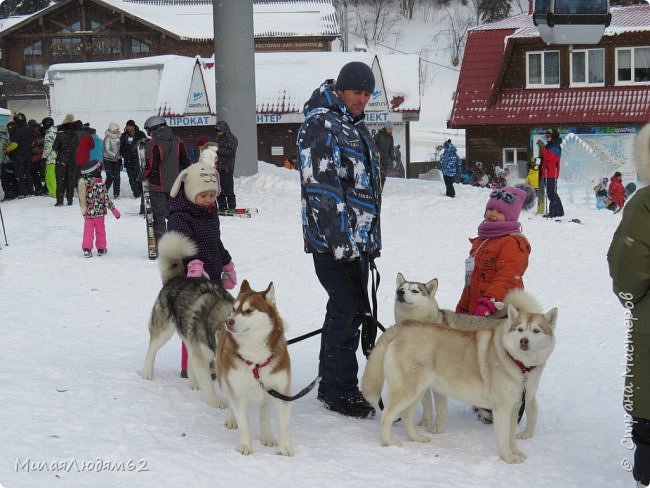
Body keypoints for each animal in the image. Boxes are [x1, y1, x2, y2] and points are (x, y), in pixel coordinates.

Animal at [141, 232, 233, 408]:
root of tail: (176, 278)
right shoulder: (203, 355)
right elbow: (208, 385)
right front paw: (216, 402)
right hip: (165, 330)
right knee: (152, 349)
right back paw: (147, 373)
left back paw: (193, 383)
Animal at [215, 280, 292, 456]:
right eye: (234, 309)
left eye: (248, 311)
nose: (228, 321)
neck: (256, 359)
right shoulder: (237, 390)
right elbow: (244, 422)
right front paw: (245, 445)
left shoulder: (281, 390)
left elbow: (283, 424)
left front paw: (285, 448)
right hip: (224, 378)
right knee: (230, 400)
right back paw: (231, 419)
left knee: (264, 411)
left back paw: (267, 436)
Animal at [362, 288, 556, 464]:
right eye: (520, 329)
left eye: (536, 331)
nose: (524, 341)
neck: (519, 364)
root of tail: (403, 326)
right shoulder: (502, 408)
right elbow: (503, 438)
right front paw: (508, 458)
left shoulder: (515, 407)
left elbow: (511, 437)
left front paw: (516, 452)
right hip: (408, 390)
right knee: (387, 415)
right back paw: (388, 443)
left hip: (417, 391)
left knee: (407, 416)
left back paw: (416, 438)